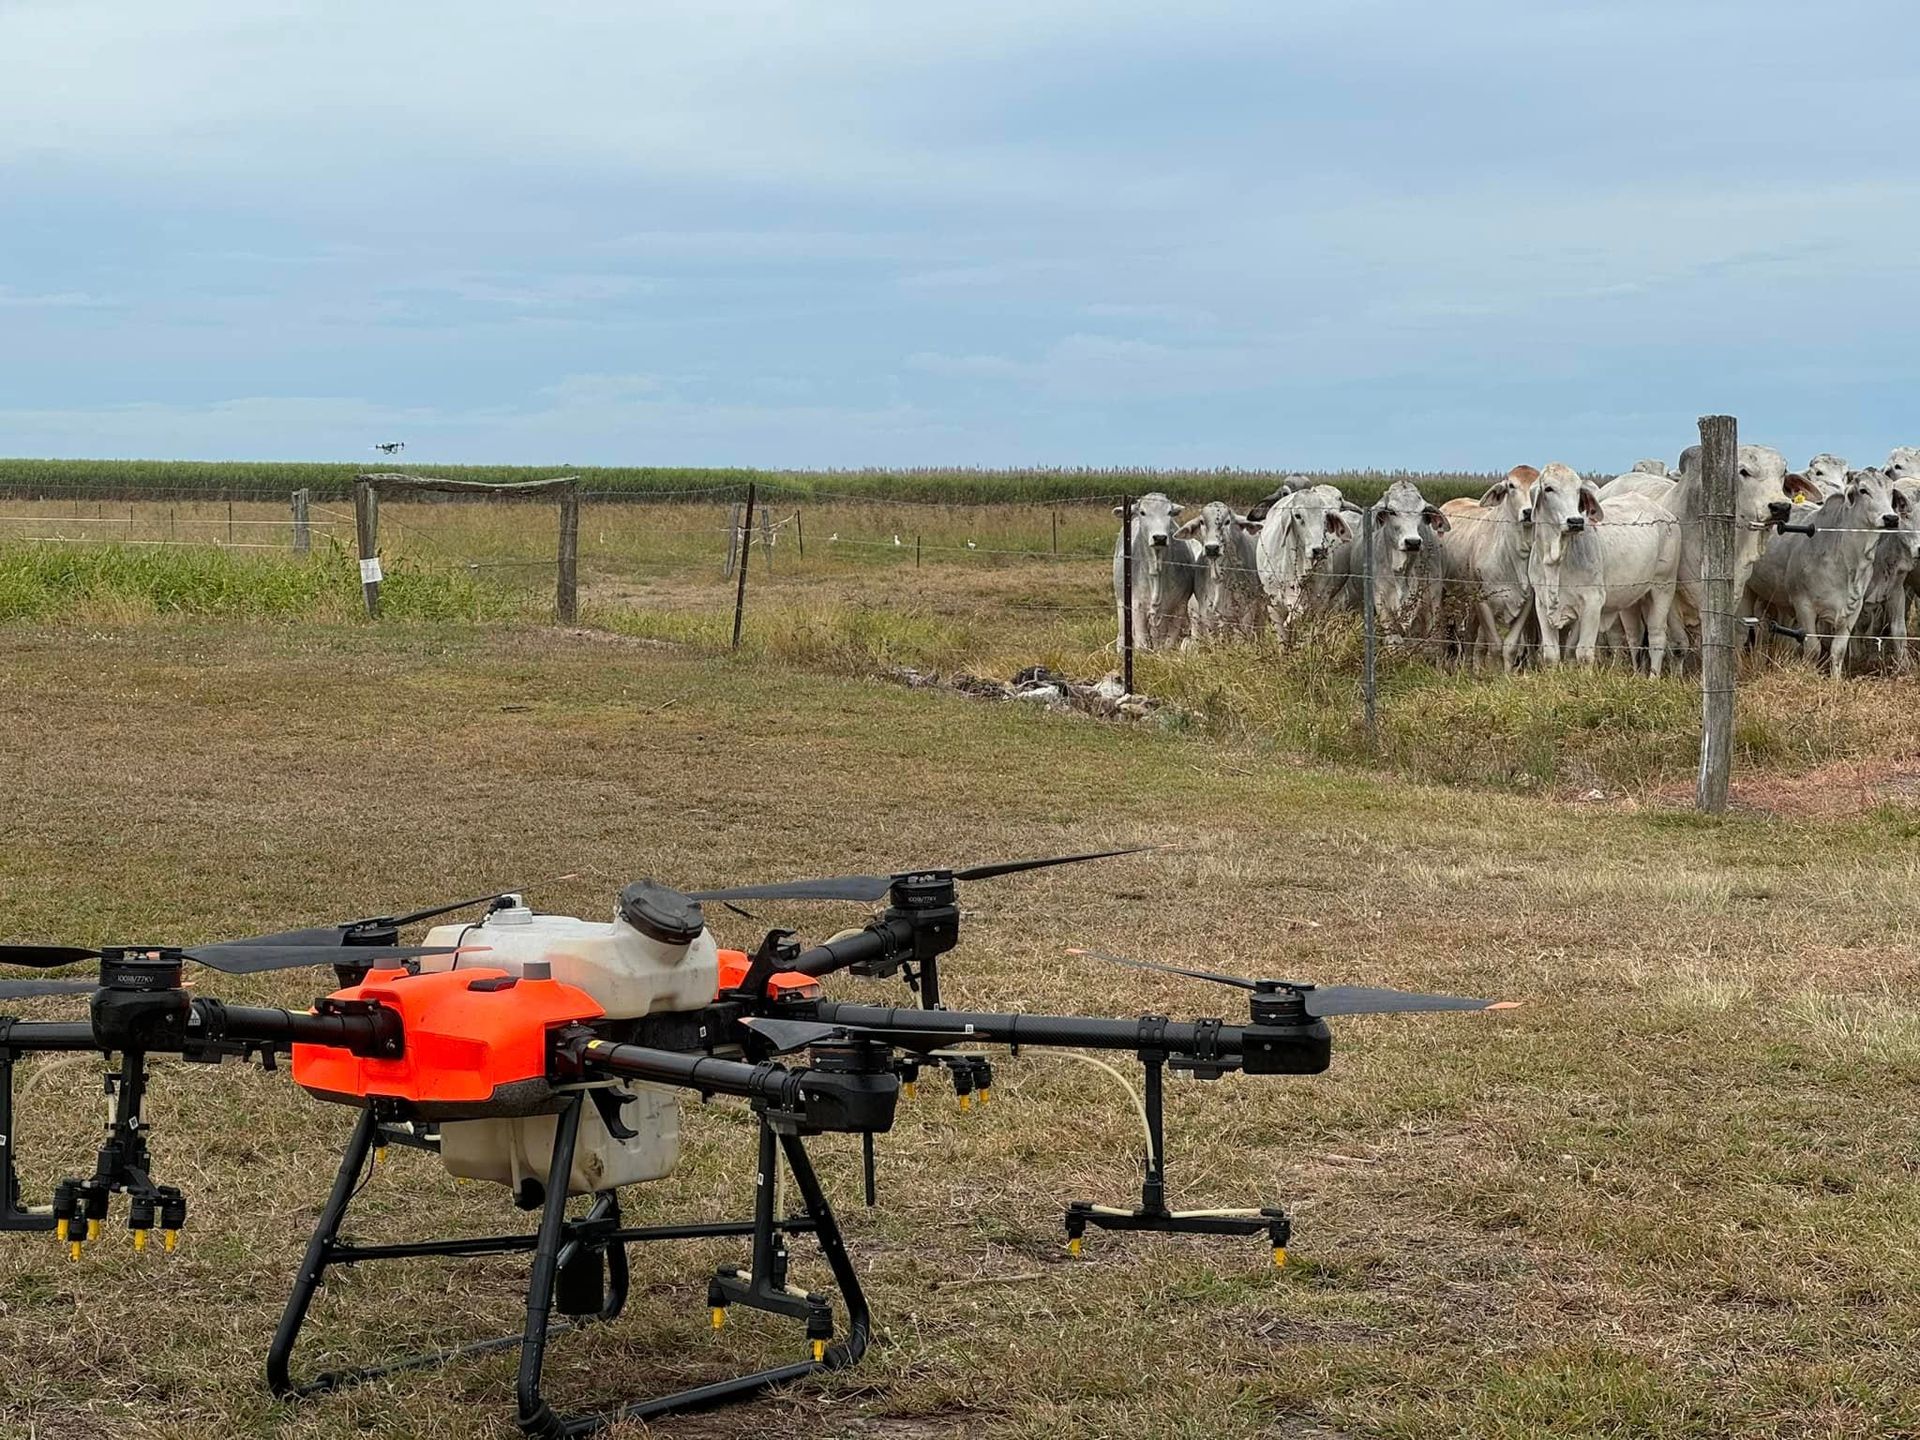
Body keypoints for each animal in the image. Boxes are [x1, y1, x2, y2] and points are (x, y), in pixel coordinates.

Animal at [1111, 493, 1199, 651]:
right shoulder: (1137, 606)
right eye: (1142, 512)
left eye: (1169, 512)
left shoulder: (1179, 607)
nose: (1159, 538)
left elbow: (1168, 642)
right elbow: (1142, 642)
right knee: (1123, 632)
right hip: (1121, 601)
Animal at [1435, 465, 1537, 672]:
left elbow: (1510, 646)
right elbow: (1495, 644)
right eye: (1511, 486)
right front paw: (1494, 673)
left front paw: (1506, 675)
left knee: (1470, 637)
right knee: (1445, 629)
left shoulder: (1527, 600)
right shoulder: (1482, 599)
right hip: (1446, 591)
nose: (1528, 512)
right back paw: (1442, 665)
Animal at [1527, 465, 1681, 676]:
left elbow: (1583, 654)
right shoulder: (1542, 604)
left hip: (1664, 586)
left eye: (1578, 490)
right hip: (1633, 598)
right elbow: (1552, 655)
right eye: (1549, 488)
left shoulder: (1592, 602)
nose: (1575, 521)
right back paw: (1637, 675)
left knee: (1657, 636)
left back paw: (1652, 678)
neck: (1555, 560)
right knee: (1634, 636)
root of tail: (1666, 514)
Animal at [1747, 467, 1905, 679]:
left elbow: (1838, 650)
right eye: (1864, 490)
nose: (1891, 518)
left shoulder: (1852, 610)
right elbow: (1813, 648)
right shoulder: (1804, 605)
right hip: (1752, 592)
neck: (1847, 561)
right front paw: (1808, 675)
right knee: (1758, 629)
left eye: (1890, 492)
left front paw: (1836, 680)